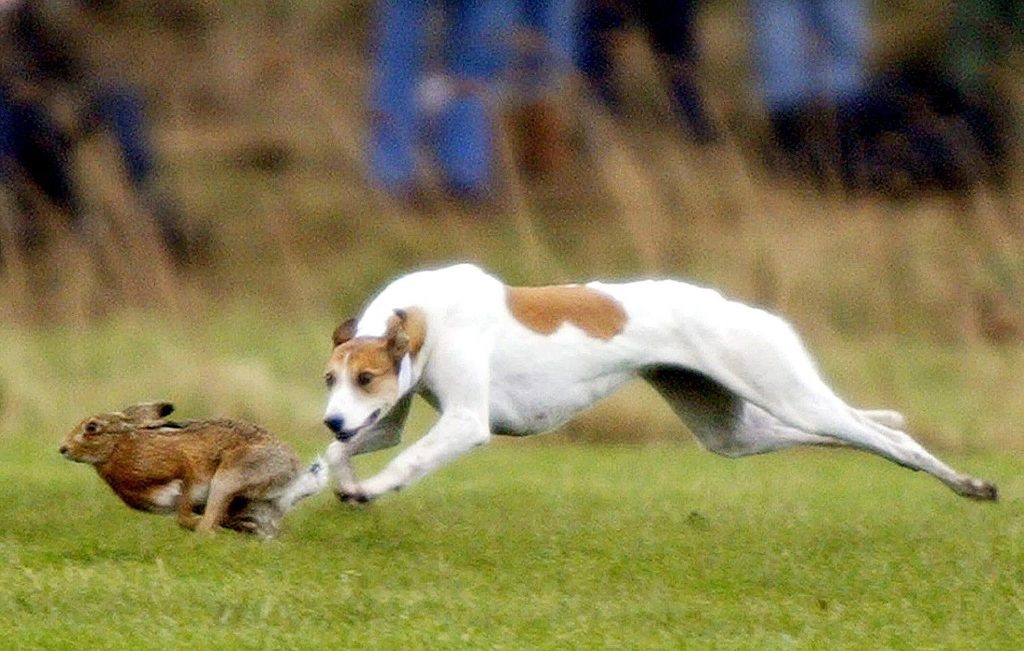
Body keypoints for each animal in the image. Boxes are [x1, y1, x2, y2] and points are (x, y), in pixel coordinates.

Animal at [319, 264, 991, 503]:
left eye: (368, 376)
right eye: (331, 379)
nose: (331, 416)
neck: (420, 316)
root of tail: (748, 310)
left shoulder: (464, 424)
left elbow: (406, 461)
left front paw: (368, 490)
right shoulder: (381, 421)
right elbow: (338, 456)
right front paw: (333, 479)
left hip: (787, 392)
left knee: (890, 443)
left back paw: (968, 484)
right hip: (735, 431)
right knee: (850, 432)